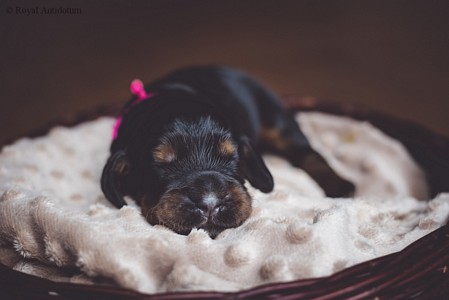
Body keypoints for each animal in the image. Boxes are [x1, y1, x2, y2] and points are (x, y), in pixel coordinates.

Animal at [101, 65, 354, 237]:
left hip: (276, 116)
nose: (210, 203)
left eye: (232, 156)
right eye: (161, 164)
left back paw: (342, 186)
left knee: (307, 153)